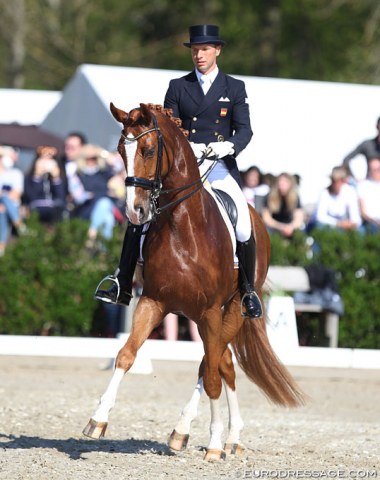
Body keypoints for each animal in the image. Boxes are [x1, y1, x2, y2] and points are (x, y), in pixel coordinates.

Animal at [83, 103, 306, 460]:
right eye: (119, 151)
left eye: (148, 150)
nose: (135, 212)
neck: (182, 225)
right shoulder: (153, 302)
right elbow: (127, 354)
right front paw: (98, 419)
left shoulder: (210, 312)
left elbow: (209, 373)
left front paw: (212, 445)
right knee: (223, 362)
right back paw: (220, 435)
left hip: (233, 309)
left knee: (214, 364)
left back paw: (208, 435)